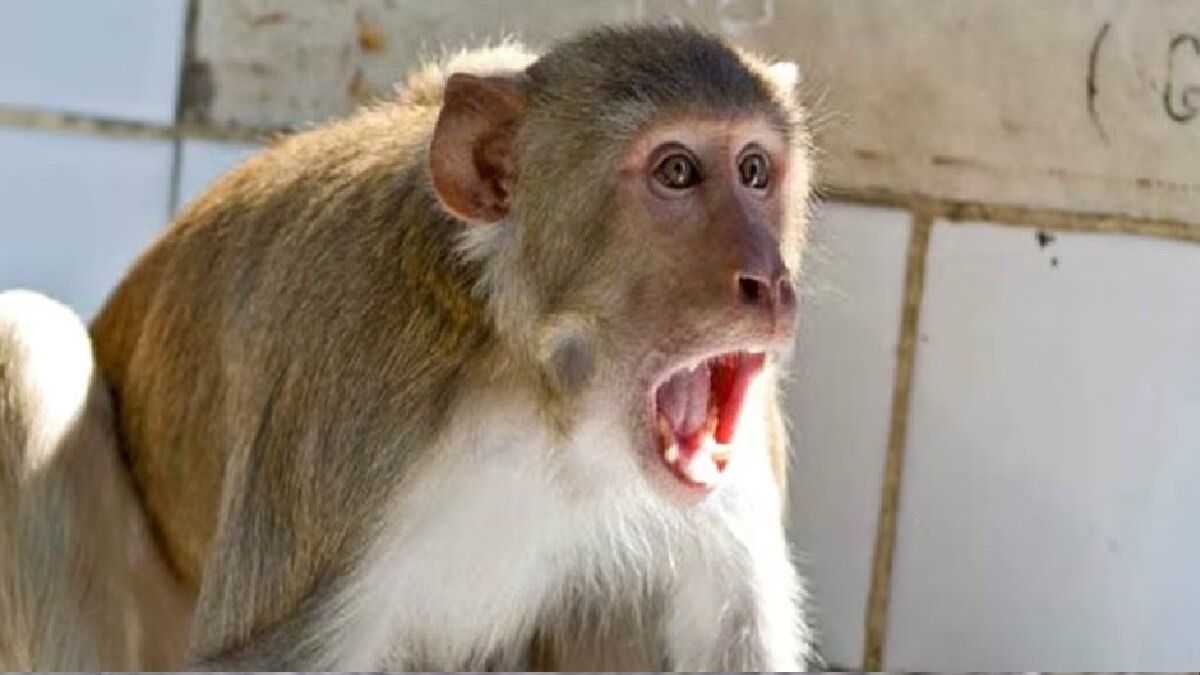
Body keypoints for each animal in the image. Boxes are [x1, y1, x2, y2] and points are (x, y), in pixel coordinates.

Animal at [1, 23, 815, 670]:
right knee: (33, 337)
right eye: (677, 171)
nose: (768, 279)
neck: (546, 391)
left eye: (754, 170)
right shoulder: (349, 393)